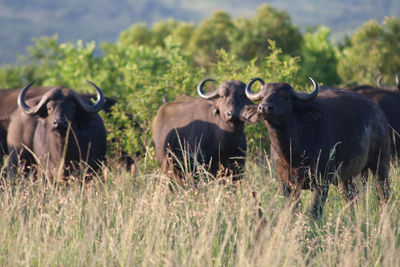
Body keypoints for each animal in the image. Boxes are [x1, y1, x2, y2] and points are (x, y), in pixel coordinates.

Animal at [241, 77, 390, 218]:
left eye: (286, 97)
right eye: (262, 96)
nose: (264, 108)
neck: (291, 153)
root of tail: (379, 113)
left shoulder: (321, 182)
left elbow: (314, 211)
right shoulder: (285, 183)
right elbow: (293, 210)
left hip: (380, 163)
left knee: (383, 192)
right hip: (346, 176)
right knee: (351, 197)